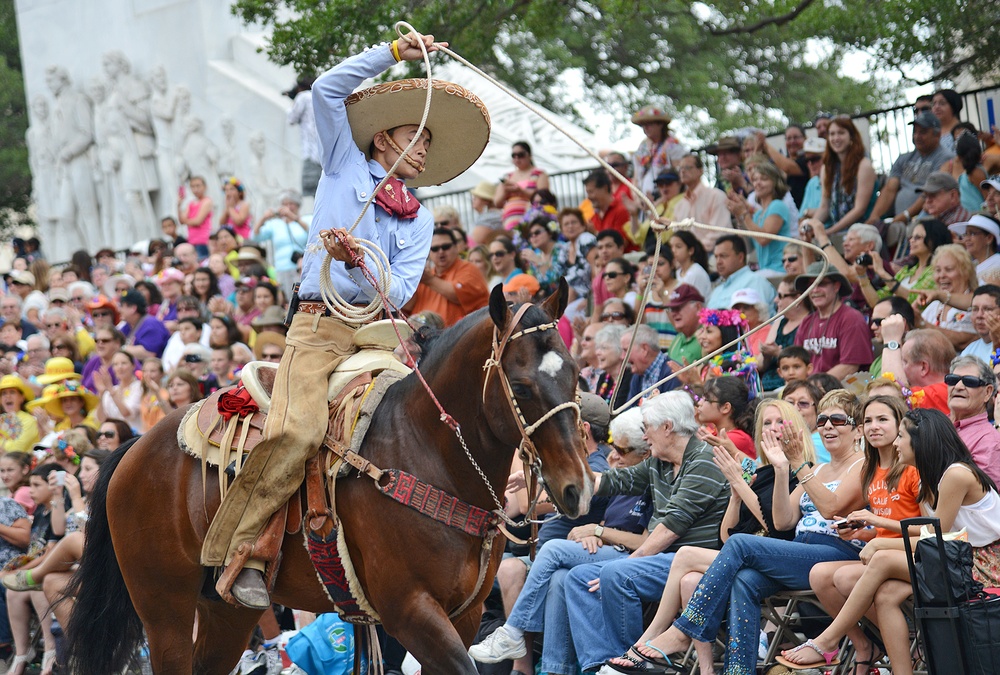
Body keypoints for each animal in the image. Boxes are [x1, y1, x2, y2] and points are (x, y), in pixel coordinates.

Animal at [66, 282, 588, 675]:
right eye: (521, 386)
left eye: (577, 374)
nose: (577, 488)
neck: (428, 455)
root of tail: (134, 448)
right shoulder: (411, 611)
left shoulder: (466, 613)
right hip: (165, 610)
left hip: (225, 610)